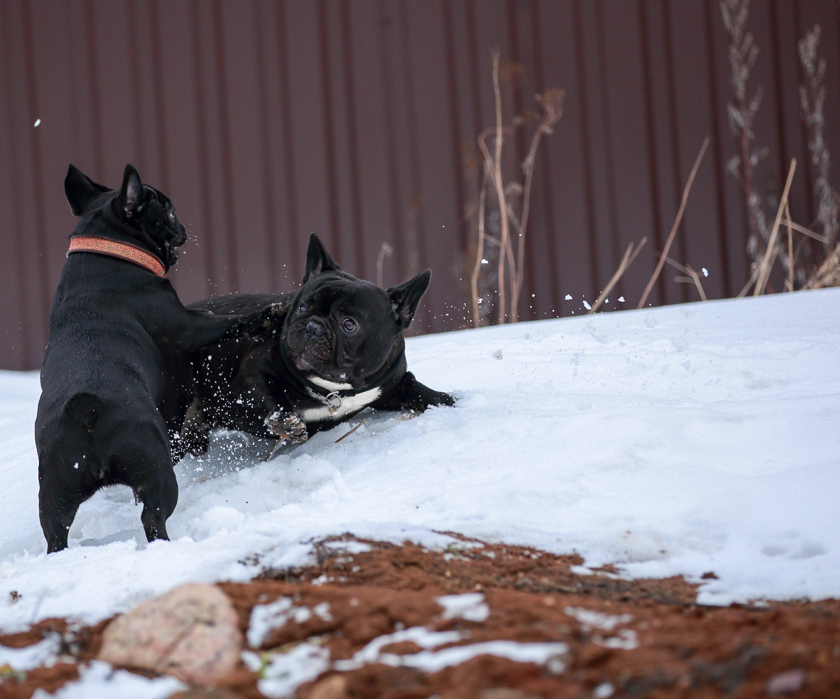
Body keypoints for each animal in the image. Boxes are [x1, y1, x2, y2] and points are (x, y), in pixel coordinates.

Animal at [36, 163, 270, 552]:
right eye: (168, 210)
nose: (183, 225)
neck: (107, 251)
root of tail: (87, 407)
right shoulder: (187, 327)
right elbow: (227, 323)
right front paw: (268, 315)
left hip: (55, 490)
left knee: (56, 533)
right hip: (157, 468)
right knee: (153, 518)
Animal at [178, 232, 452, 456]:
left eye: (349, 324)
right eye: (301, 307)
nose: (312, 327)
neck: (335, 391)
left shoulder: (392, 384)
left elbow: (416, 388)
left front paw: (448, 400)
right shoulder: (250, 374)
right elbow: (269, 395)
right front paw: (285, 421)